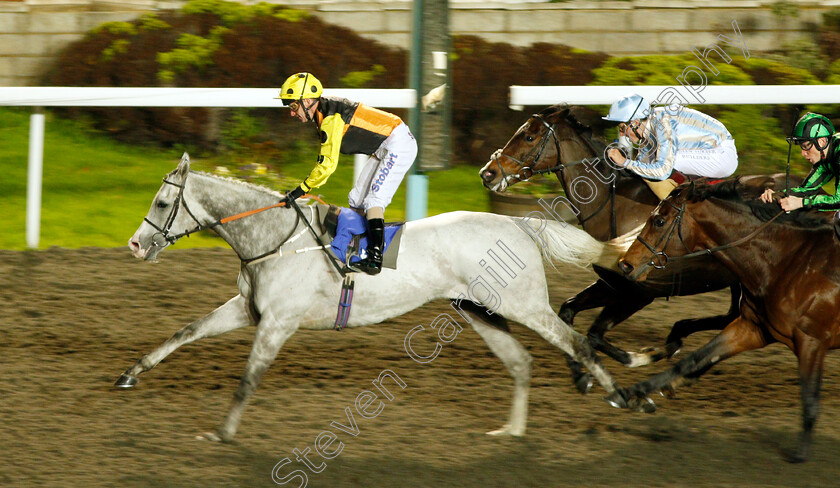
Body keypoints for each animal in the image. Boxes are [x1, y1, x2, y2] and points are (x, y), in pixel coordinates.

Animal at [118, 155, 644, 442]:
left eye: (162, 203)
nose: (136, 245)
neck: (272, 237)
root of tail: (519, 223)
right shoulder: (249, 309)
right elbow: (186, 331)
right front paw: (130, 374)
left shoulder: (277, 323)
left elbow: (248, 379)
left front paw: (223, 432)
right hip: (478, 309)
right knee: (521, 362)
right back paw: (511, 432)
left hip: (525, 305)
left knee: (576, 343)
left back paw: (623, 397)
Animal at [480, 103, 796, 392]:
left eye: (529, 137)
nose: (487, 173)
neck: (612, 201)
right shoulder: (612, 282)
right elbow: (568, 312)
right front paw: (581, 375)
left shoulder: (639, 291)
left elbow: (595, 334)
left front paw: (643, 357)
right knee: (731, 317)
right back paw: (677, 339)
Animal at [612, 178, 840, 462]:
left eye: (660, 221)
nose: (625, 265)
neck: (788, 261)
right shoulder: (753, 328)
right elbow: (693, 359)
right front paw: (629, 393)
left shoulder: (812, 341)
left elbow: (809, 401)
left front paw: (798, 457)